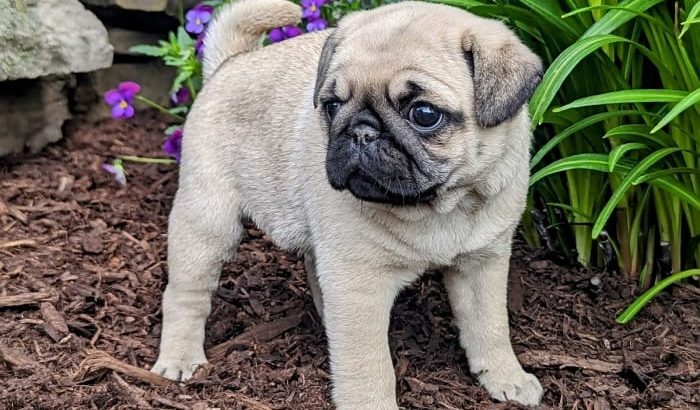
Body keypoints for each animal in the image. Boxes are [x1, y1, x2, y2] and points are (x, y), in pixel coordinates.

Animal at [152, 0, 548, 406]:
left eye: (424, 114)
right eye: (331, 106)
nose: (361, 131)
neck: (440, 205)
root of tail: (229, 64)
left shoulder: (483, 265)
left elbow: (490, 327)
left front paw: (506, 375)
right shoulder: (359, 285)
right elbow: (369, 365)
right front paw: (371, 404)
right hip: (207, 224)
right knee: (185, 295)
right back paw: (179, 357)